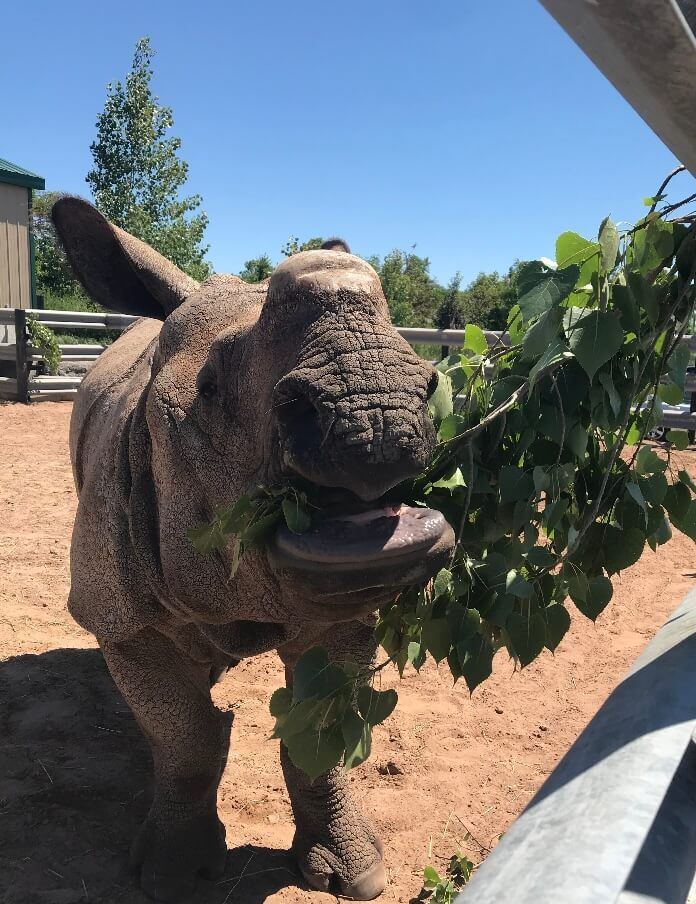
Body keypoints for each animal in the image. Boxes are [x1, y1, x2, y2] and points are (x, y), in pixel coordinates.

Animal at [51, 200, 454, 904]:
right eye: (209, 389)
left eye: (431, 385)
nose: (381, 416)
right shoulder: (120, 613)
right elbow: (186, 739)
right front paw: (173, 876)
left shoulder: (350, 607)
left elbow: (319, 737)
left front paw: (353, 872)